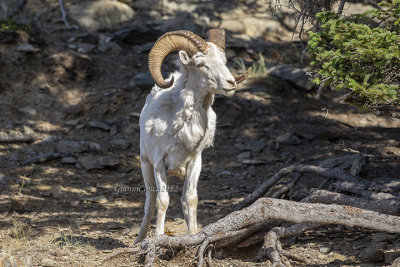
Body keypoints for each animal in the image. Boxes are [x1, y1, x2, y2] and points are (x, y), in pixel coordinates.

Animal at [134, 28, 250, 244]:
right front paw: (159, 237)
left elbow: (190, 200)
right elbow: (162, 201)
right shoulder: (159, 164)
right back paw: (139, 240)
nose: (230, 83)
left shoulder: (194, 163)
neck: (180, 130)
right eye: (200, 64)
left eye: (224, 61)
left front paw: (192, 235)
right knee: (150, 203)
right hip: (146, 165)